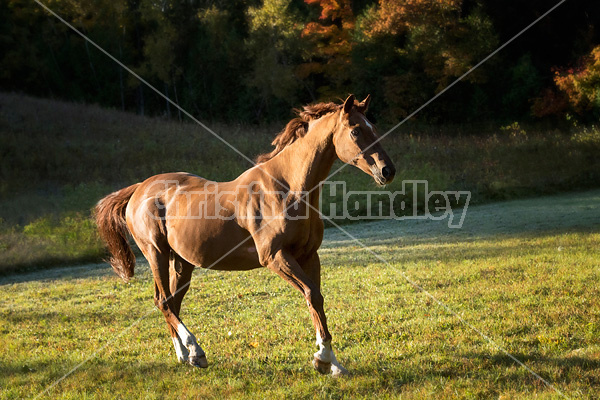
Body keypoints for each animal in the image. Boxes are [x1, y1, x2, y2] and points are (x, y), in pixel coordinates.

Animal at [96, 95, 396, 376]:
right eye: (356, 130)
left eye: (374, 127)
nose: (387, 171)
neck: (287, 188)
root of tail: (139, 189)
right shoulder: (275, 257)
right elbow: (312, 294)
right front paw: (322, 359)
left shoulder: (309, 255)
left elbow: (317, 299)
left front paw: (331, 363)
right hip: (155, 253)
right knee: (163, 301)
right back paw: (196, 350)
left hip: (182, 262)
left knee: (172, 302)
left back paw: (187, 356)